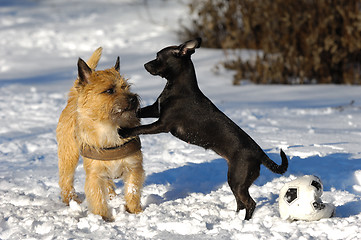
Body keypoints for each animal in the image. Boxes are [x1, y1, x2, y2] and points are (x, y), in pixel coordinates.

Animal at [56, 47, 143, 222]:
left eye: (126, 87)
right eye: (109, 90)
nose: (133, 98)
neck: (110, 127)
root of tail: (74, 97)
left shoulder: (133, 166)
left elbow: (132, 190)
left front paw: (135, 211)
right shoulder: (94, 174)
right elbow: (97, 197)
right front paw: (103, 217)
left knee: (108, 185)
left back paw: (112, 196)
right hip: (68, 155)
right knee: (65, 179)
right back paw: (71, 200)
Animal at [118, 38, 286, 220]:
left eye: (158, 57)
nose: (145, 64)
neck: (177, 87)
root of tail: (259, 152)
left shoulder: (162, 124)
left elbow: (141, 128)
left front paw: (124, 132)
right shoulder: (155, 110)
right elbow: (139, 112)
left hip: (238, 179)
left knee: (250, 203)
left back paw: (245, 222)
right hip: (235, 180)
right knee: (241, 202)